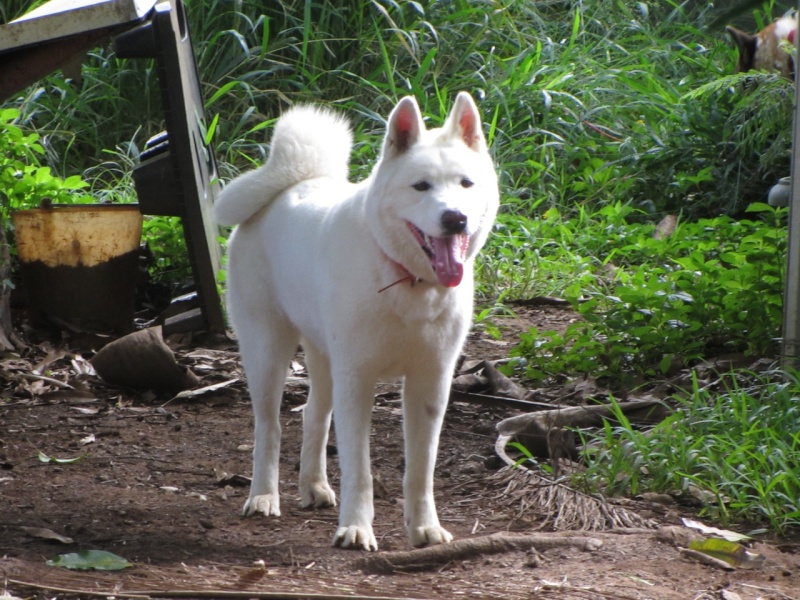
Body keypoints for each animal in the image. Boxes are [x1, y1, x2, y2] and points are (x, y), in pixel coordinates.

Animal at [212, 91, 500, 552]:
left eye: (465, 184)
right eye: (421, 186)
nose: (455, 218)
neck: (408, 281)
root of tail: (290, 184)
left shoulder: (431, 383)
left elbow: (421, 470)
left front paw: (424, 528)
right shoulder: (357, 380)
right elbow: (358, 469)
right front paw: (356, 529)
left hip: (325, 359)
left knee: (312, 414)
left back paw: (313, 486)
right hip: (267, 353)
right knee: (269, 428)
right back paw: (263, 497)